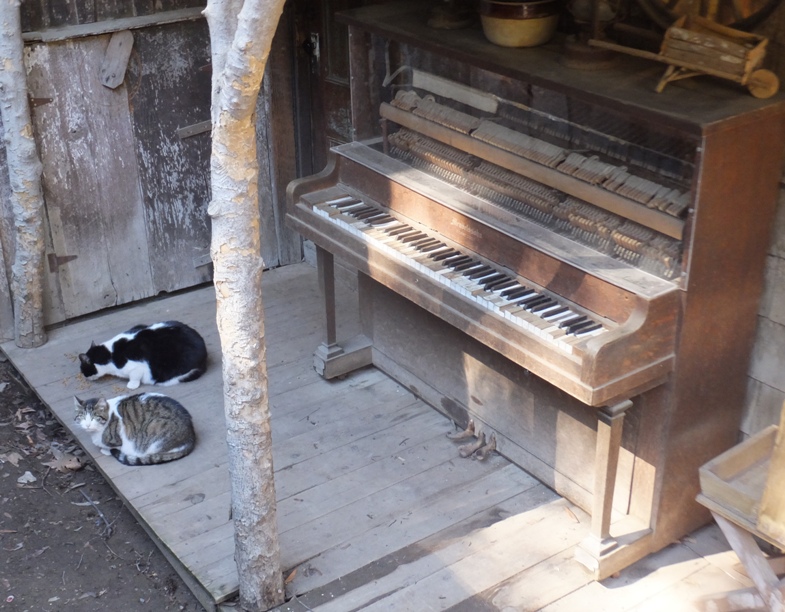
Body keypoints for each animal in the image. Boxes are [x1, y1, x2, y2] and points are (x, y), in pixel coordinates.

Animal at [78, 322, 207, 390]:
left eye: (83, 369)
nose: (85, 377)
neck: (109, 354)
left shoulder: (138, 367)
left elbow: (134, 376)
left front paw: (132, 385)